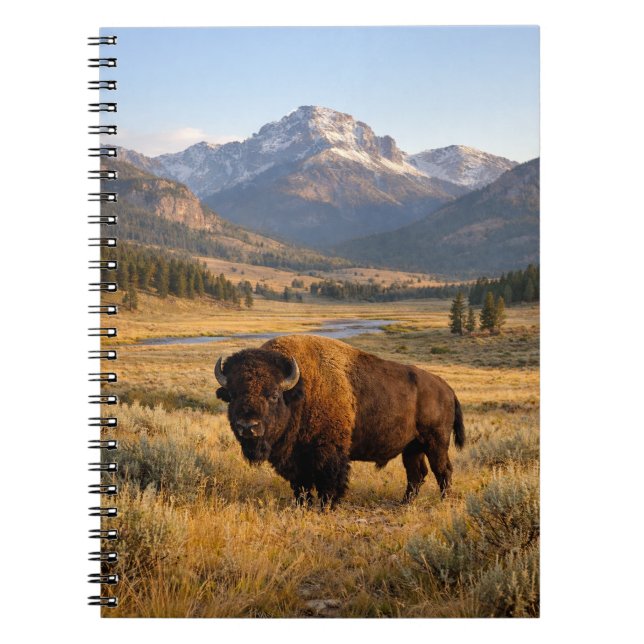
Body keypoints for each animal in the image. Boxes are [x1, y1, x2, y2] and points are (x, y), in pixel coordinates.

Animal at [214, 334, 464, 507]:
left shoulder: (329, 453)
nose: (248, 427)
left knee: (443, 471)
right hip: (412, 447)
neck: (301, 390)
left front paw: (328, 506)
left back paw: (443, 502)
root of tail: (447, 389)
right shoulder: (297, 460)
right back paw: (405, 503)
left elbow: (330, 482)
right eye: (232, 395)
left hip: (436, 443)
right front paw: (303, 505)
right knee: (416, 474)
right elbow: (301, 486)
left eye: (274, 395)